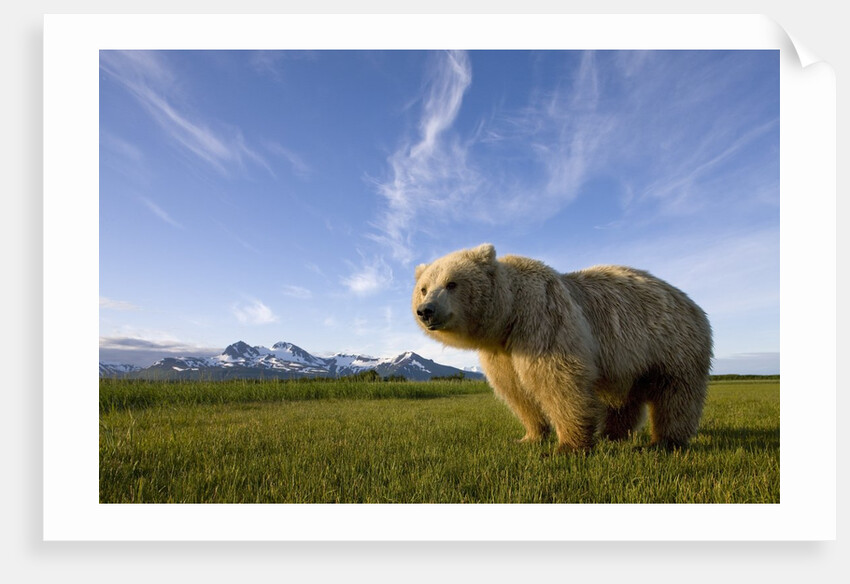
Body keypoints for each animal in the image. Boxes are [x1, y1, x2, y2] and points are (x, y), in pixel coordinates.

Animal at [412, 243, 713, 454]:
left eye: (451, 283)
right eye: (424, 288)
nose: (426, 311)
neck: (508, 317)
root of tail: (692, 303)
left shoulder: (542, 319)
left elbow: (557, 380)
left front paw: (568, 445)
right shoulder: (501, 351)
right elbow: (516, 390)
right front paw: (529, 436)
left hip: (671, 344)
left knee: (675, 395)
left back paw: (664, 442)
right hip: (630, 361)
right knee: (624, 399)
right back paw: (613, 434)